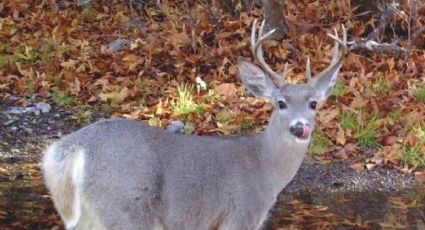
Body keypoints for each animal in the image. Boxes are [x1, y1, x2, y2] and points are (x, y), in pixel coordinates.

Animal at [43, 20, 346, 230]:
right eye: (281, 103)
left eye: (314, 104)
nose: (300, 127)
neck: (265, 168)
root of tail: (74, 148)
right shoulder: (240, 214)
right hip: (124, 206)